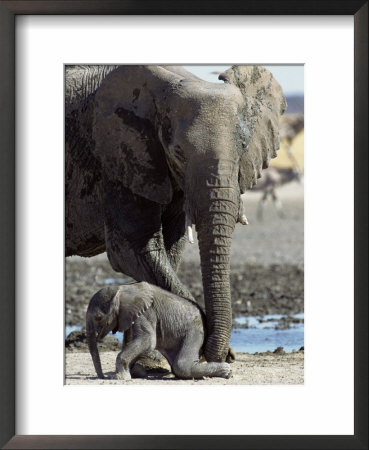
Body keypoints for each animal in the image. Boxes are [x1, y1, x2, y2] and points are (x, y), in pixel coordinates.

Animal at [64, 65, 286, 362]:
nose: (223, 355)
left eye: (242, 147)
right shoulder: (117, 160)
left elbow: (171, 249)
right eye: (178, 153)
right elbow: (134, 250)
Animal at [85, 282, 230, 380]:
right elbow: (131, 341)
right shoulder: (128, 316)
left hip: (195, 330)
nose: (102, 377)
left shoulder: (146, 313)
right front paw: (134, 372)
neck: (122, 288)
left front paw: (121, 378)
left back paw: (227, 371)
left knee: (182, 365)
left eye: (98, 317)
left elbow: (148, 341)